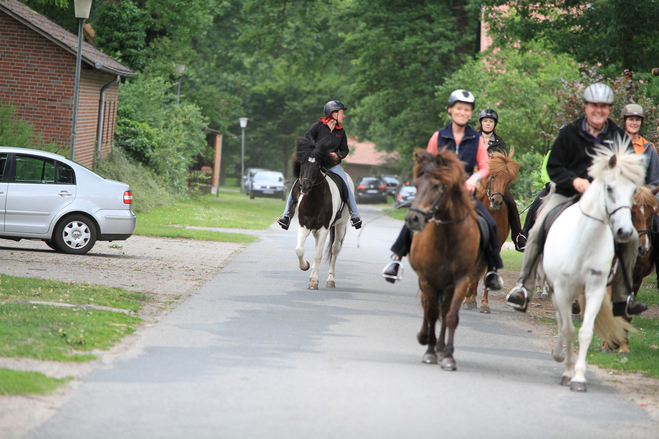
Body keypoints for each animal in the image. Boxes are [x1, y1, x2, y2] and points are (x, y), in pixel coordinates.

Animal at [292, 136, 354, 290]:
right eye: (302, 163)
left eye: (317, 165)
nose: (305, 187)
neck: (314, 200)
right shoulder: (303, 226)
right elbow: (299, 250)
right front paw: (305, 266)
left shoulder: (324, 229)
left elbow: (318, 255)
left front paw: (314, 281)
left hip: (340, 225)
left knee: (335, 249)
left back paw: (330, 280)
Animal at [404, 149, 488, 372]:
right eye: (416, 185)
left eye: (436, 186)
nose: (413, 219)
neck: (446, 238)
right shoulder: (427, 280)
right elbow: (431, 313)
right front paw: (429, 352)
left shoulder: (460, 281)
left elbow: (450, 316)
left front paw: (448, 355)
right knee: (428, 307)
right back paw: (426, 337)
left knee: (443, 310)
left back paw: (440, 347)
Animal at [464, 148, 520, 312]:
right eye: (493, 176)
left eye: (508, 181)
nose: (496, 201)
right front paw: (467, 298)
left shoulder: (496, 246)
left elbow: (487, 271)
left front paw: (484, 303)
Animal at [544, 140, 648, 392]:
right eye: (609, 188)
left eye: (633, 191)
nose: (624, 232)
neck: (585, 239)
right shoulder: (562, 289)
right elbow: (569, 329)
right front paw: (568, 371)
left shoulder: (596, 289)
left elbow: (584, 332)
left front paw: (579, 378)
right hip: (556, 290)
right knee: (561, 321)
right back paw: (559, 355)